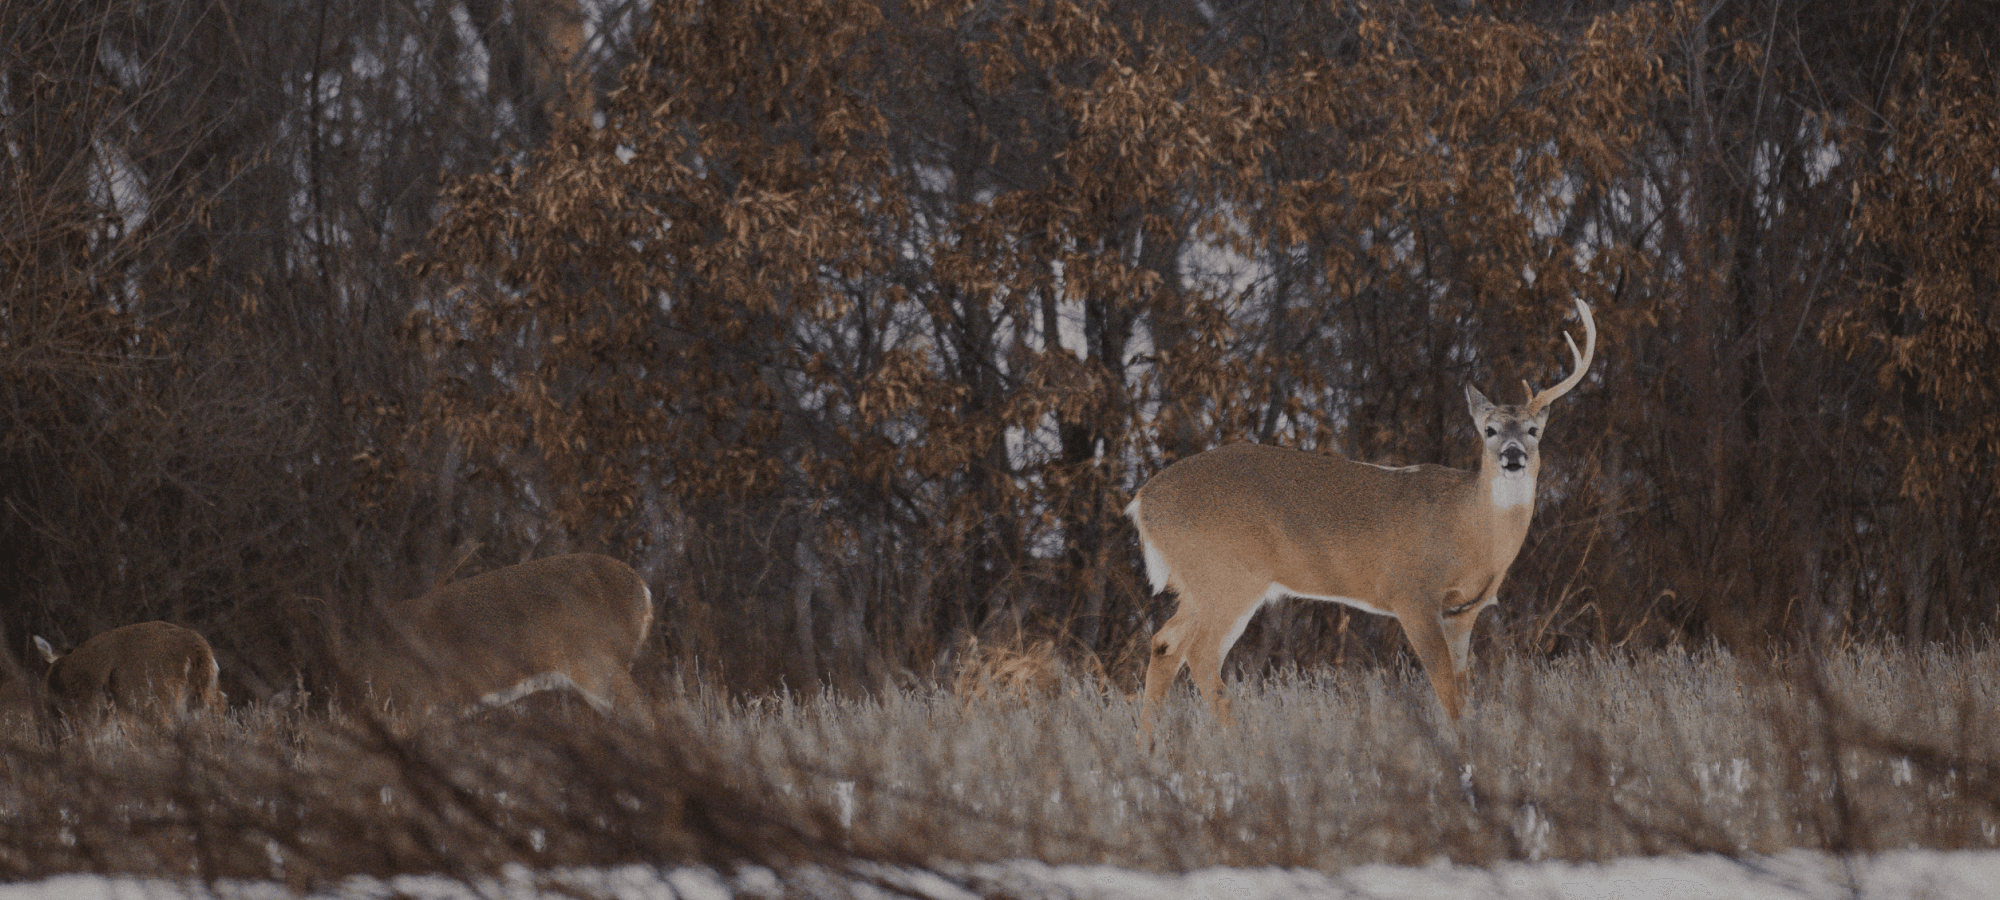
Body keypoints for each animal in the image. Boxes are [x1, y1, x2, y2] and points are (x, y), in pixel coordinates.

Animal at [1128, 298, 1596, 744]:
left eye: (1534, 430)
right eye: (1490, 430)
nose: (1512, 456)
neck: (1469, 529)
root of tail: (1142, 501)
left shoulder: (1464, 611)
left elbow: (1464, 691)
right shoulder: (1411, 594)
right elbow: (1446, 689)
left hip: (1200, 583)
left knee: (1165, 643)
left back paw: (1148, 748)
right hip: (1228, 575)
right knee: (1200, 654)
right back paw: (1243, 746)